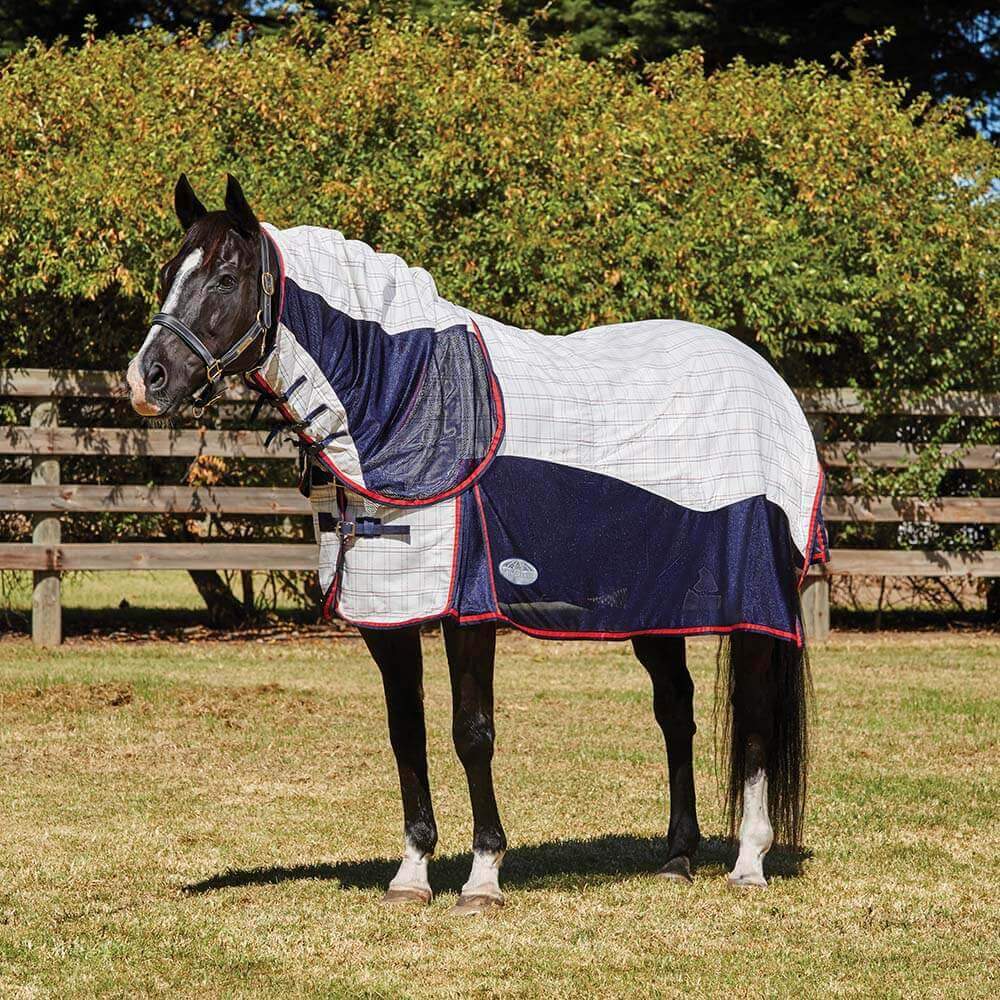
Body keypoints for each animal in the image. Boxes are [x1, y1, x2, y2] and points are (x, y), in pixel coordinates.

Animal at [127, 175, 824, 915]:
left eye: (226, 278)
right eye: (168, 275)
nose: (145, 381)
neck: (402, 397)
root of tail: (768, 381)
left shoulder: (468, 608)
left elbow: (471, 732)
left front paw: (483, 875)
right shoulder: (389, 609)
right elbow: (406, 732)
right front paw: (411, 873)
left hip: (753, 606)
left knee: (754, 717)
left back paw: (748, 859)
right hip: (656, 605)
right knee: (676, 712)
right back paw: (678, 857)